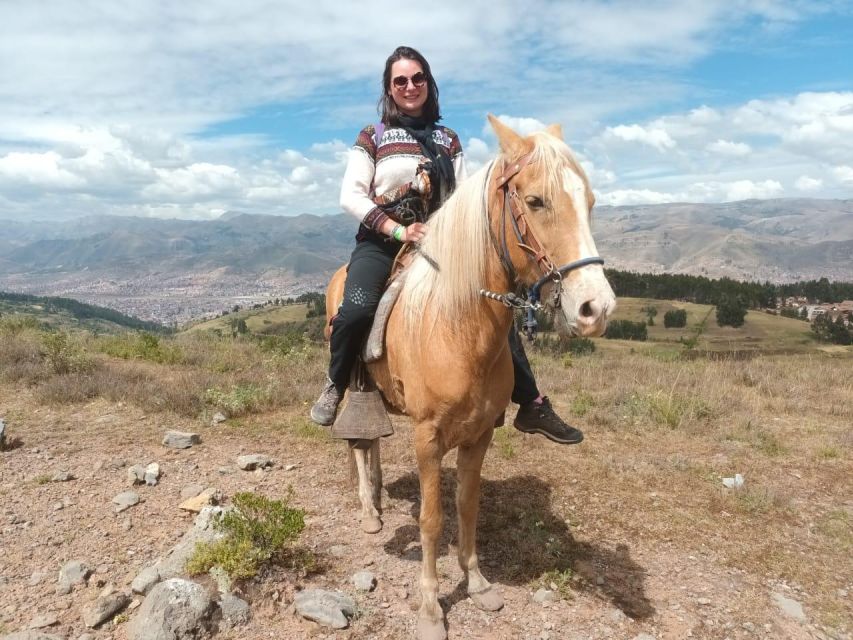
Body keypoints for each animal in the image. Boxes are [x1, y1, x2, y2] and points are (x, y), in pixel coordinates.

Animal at [324, 116, 612, 640]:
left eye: (590, 201)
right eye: (535, 201)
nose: (595, 308)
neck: (456, 325)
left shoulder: (479, 436)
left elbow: (467, 507)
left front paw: (476, 583)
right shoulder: (427, 437)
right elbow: (431, 519)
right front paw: (430, 608)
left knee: (370, 444)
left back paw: (377, 495)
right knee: (355, 443)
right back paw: (370, 510)